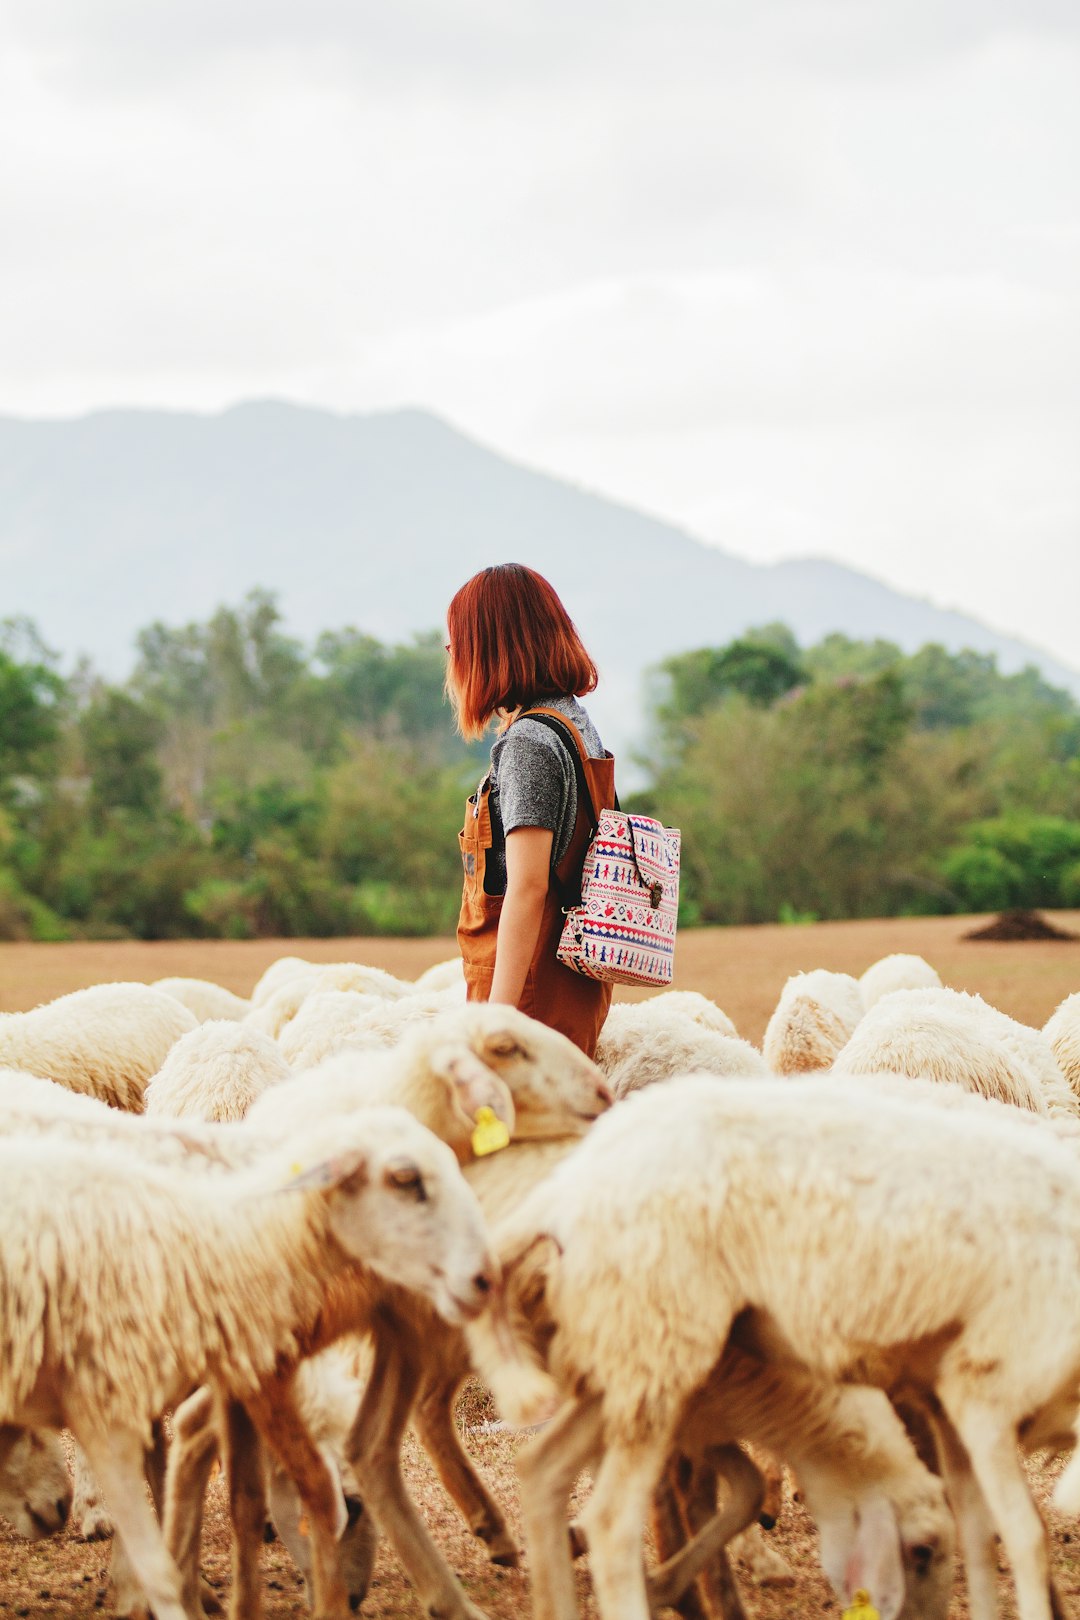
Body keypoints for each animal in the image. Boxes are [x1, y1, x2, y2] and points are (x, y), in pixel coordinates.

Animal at [479, 1075, 1080, 1620]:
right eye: (920, 1552)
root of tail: (566, 1189)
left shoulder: (945, 1401)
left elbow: (978, 1530)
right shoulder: (986, 1391)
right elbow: (1025, 1534)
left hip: (632, 1356)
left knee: (543, 1469)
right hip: (658, 1344)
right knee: (609, 1523)